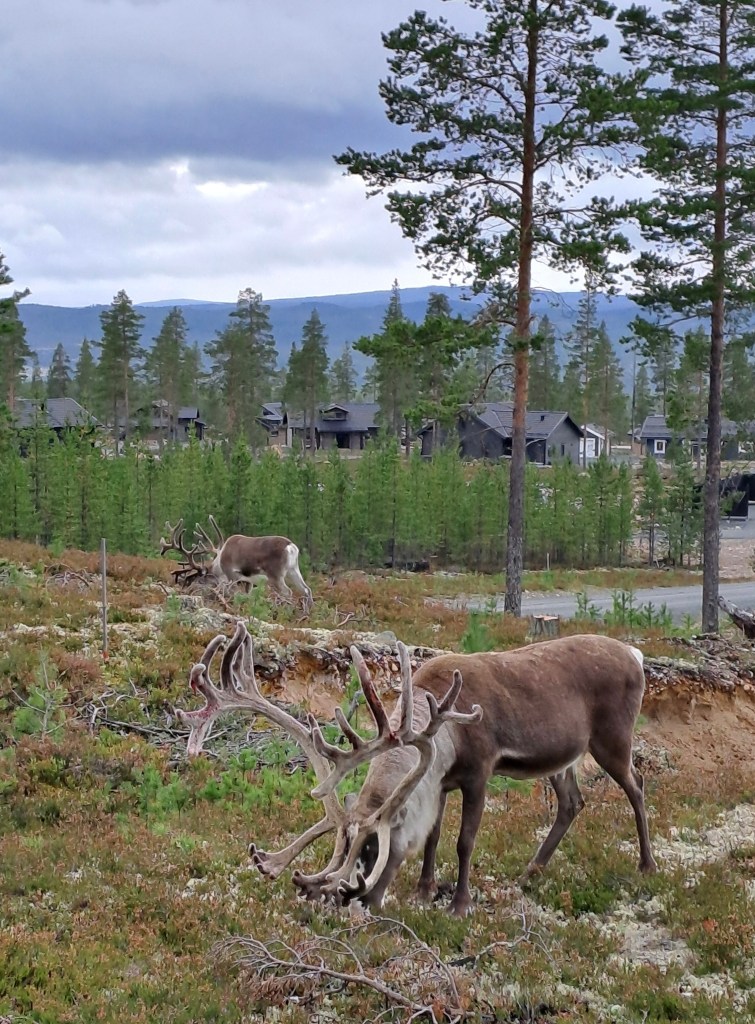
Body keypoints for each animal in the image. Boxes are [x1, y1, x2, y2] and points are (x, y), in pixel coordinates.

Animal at [160, 515, 313, 613]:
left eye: (199, 578)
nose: (188, 590)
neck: (219, 564)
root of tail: (291, 547)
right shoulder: (248, 581)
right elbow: (248, 596)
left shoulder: (232, 575)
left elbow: (232, 594)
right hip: (293, 570)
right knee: (306, 589)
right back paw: (307, 613)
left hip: (275, 575)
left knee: (288, 592)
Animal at [177, 621, 657, 917]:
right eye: (346, 847)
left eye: (375, 848)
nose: (356, 900)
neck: (444, 727)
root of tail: (635, 654)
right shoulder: (439, 781)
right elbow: (434, 835)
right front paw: (425, 890)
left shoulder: (479, 771)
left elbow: (464, 841)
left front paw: (459, 904)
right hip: (563, 759)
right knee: (572, 802)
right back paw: (531, 872)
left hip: (613, 738)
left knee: (637, 787)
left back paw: (647, 865)